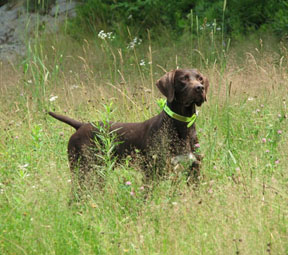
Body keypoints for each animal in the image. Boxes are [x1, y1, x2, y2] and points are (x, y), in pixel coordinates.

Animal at [48, 68, 208, 182]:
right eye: (183, 79)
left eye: (200, 78)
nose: (200, 88)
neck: (182, 126)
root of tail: (81, 125)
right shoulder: (153, 172)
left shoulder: (194, 170)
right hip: (83, 171)